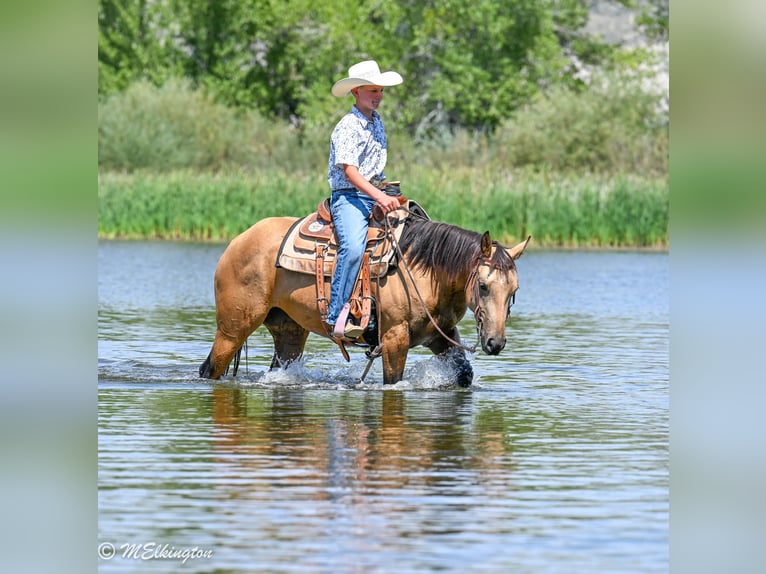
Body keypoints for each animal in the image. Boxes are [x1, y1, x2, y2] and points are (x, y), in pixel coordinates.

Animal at [199, 211, 529, 386]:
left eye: (514, 291)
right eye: (483, 286)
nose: (495, 343)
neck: (426, 271)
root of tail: (237, 240)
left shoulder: (440, 335)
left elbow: (464, 373)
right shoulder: (395, 338)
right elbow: (393, 380)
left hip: (289, 332)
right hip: (233, 329)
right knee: (210, 369)